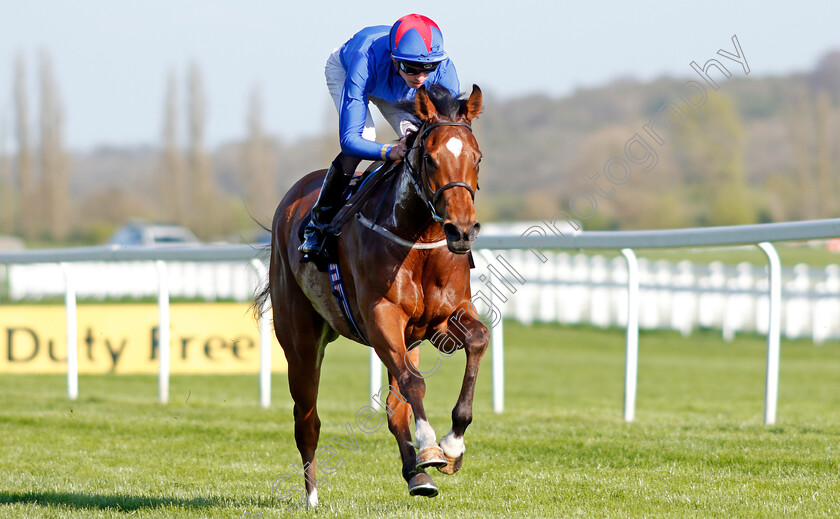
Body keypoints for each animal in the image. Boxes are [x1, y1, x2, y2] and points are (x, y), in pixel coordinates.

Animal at [260, 85, 486, 508]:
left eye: (477, 158)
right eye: (430, 158)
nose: (462, 230)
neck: (418, 239)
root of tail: (291, 200)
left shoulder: (439, 321)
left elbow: (477, 340)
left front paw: (453, 445)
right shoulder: (382, 317)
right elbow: (415, 383)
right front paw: (432, 446)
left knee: (395, 409)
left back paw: (417, 477)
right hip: (300, 340)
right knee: (307, 419)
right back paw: (312, 496)